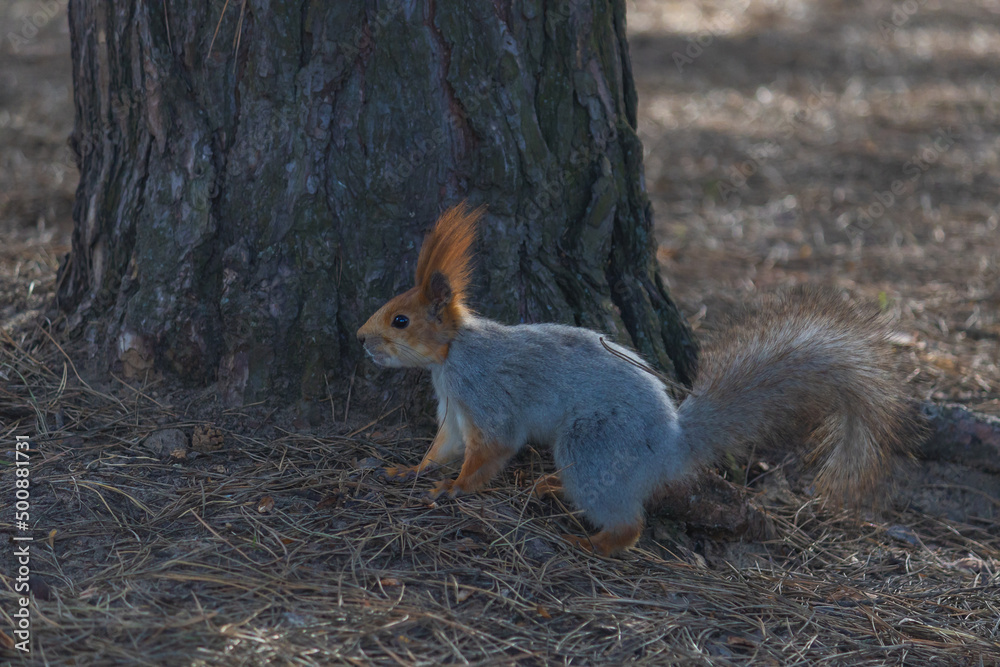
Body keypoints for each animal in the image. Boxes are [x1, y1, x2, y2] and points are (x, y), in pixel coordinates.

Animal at [356, 202, 913, 556]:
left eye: (400, 320)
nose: (360, 338)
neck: (452, 354)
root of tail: (669, 445)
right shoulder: (454, 409)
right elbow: (443, 446)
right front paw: (410, 472)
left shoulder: (486, 395)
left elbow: (490, 448)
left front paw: (454, 488)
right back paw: (554, 487)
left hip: (593, 442)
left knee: (629, 523)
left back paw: (593, 542)